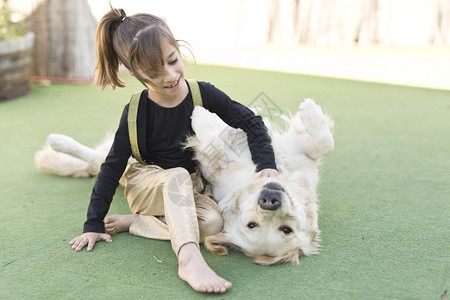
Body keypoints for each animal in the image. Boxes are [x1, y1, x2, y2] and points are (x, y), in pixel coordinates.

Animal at [36, 99, 334, 264]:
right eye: (253, 224)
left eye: (285, 229)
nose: (269, 200)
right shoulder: (297, 155)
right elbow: (323, 144)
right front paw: (310, 111)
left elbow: (213, 134)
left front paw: (200, 113)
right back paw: (57, 143)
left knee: (100, 163)